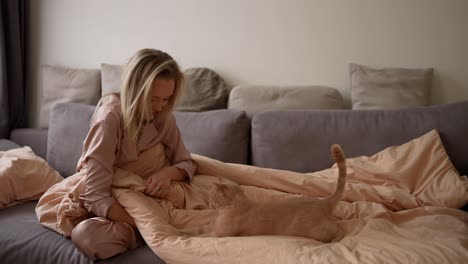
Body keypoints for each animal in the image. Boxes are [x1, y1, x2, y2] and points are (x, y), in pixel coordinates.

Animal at [181, 143, 346, 242]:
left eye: (211, 196)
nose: (208, 204)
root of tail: (323, 202)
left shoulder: (218, 234)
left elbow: (202, 236)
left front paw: (186, 236)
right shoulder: (210, 227)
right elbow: (195, 229)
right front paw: (181, 231)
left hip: (319, 232)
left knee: (340, 229)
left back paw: (336, 240)